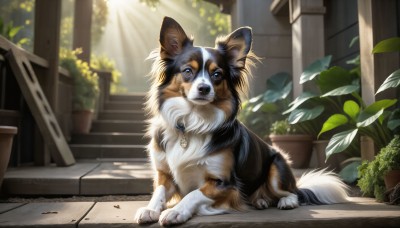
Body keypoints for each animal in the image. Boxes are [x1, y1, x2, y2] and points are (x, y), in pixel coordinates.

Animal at [134, 16, 346, 226]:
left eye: (217, 74)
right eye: (187, 71)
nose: (204, 88)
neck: (193, 121)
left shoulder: (225, 183)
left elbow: (194, 194)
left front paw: (177, 211)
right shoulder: (165, 174)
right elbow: (159, 191)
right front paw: (150, 209)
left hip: (276, 168)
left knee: (292, 192)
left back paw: (285, 201)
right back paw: (260, 200)